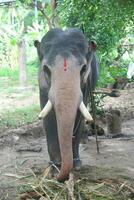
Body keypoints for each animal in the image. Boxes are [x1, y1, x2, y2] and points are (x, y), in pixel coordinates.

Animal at [34, 27, 99, 182]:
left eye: (84, 68)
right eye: (45, 69)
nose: (60, 177)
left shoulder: (85, 86)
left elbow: (79, 116)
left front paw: (76, 166)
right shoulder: (42, 85)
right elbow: (48, 118)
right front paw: (53, 170)